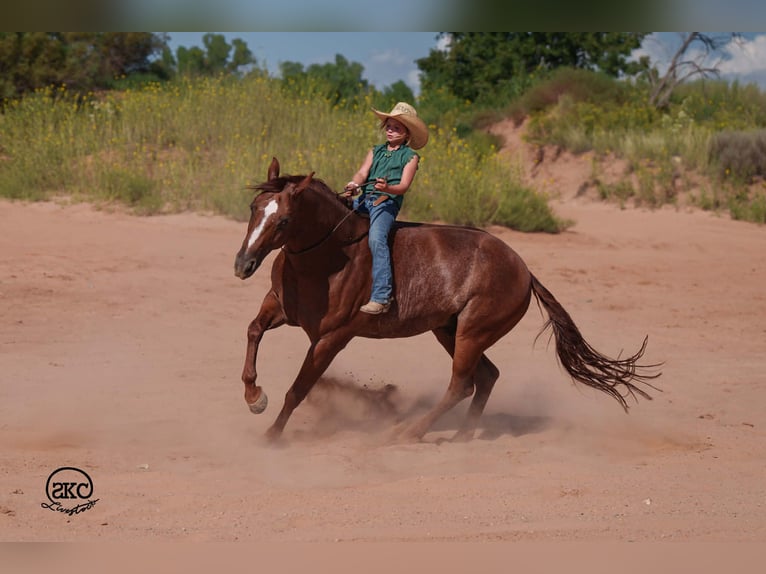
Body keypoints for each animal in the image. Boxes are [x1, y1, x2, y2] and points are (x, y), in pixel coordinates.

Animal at [233, 157, 661, 442]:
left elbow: (299, 388)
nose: (243, 264)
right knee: (486, 377)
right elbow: (252, 332)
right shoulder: (278, 308)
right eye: (254, 208)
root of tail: (524, 270)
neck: (328, 257)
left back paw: (406, 432)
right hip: (448, 330)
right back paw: (461, 437)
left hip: (472, 332)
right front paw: (254, 397)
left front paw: (272, 435)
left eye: (284, 220)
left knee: (461, 384)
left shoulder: (332, 337)